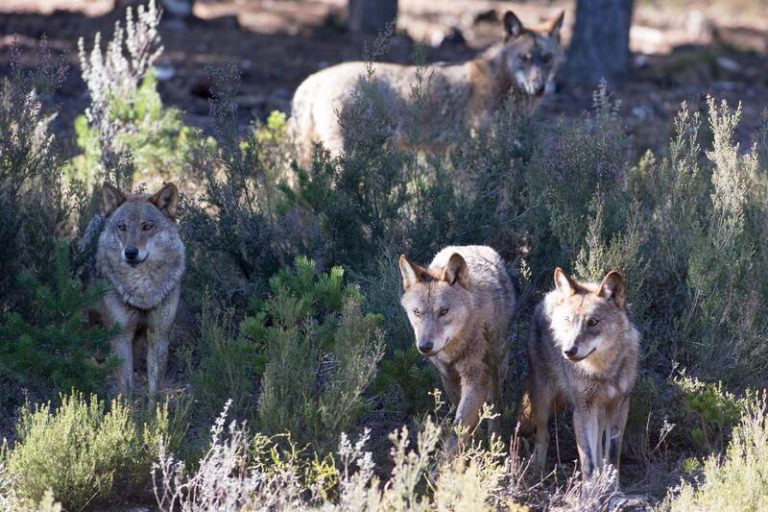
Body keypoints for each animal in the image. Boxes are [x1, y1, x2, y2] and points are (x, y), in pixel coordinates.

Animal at [90, 181, 185, 398]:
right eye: (122, 227)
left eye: (147, 226)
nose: (131, 253)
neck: (142, 294)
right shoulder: (120, 337)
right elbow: (126, 390)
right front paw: (122, 409)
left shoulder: (159, 335)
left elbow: (154, 390)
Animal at [399, 245, 516, 441]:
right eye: (417, 312)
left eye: (444, 311)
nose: (425, 346)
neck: (454, 350)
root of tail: (471, 246)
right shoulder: (448, 377)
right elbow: (461, 418)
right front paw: (473, 440)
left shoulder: (476, 377)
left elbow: (459, 428)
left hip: (497, 365)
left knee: (494, 402)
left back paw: (495, 436)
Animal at [521, 268, 639, 481]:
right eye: (568, 321)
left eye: (593, 322)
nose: (568, 351)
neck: (602, 370)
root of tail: (550, 295)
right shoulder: (582, 410)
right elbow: (588, 462)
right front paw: (590, 489)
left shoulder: (619, 406)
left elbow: (611, 457)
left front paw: (611, 486)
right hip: (543, 399)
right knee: (543, 435)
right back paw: (538, 473)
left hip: (598, 411)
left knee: (599, 447)